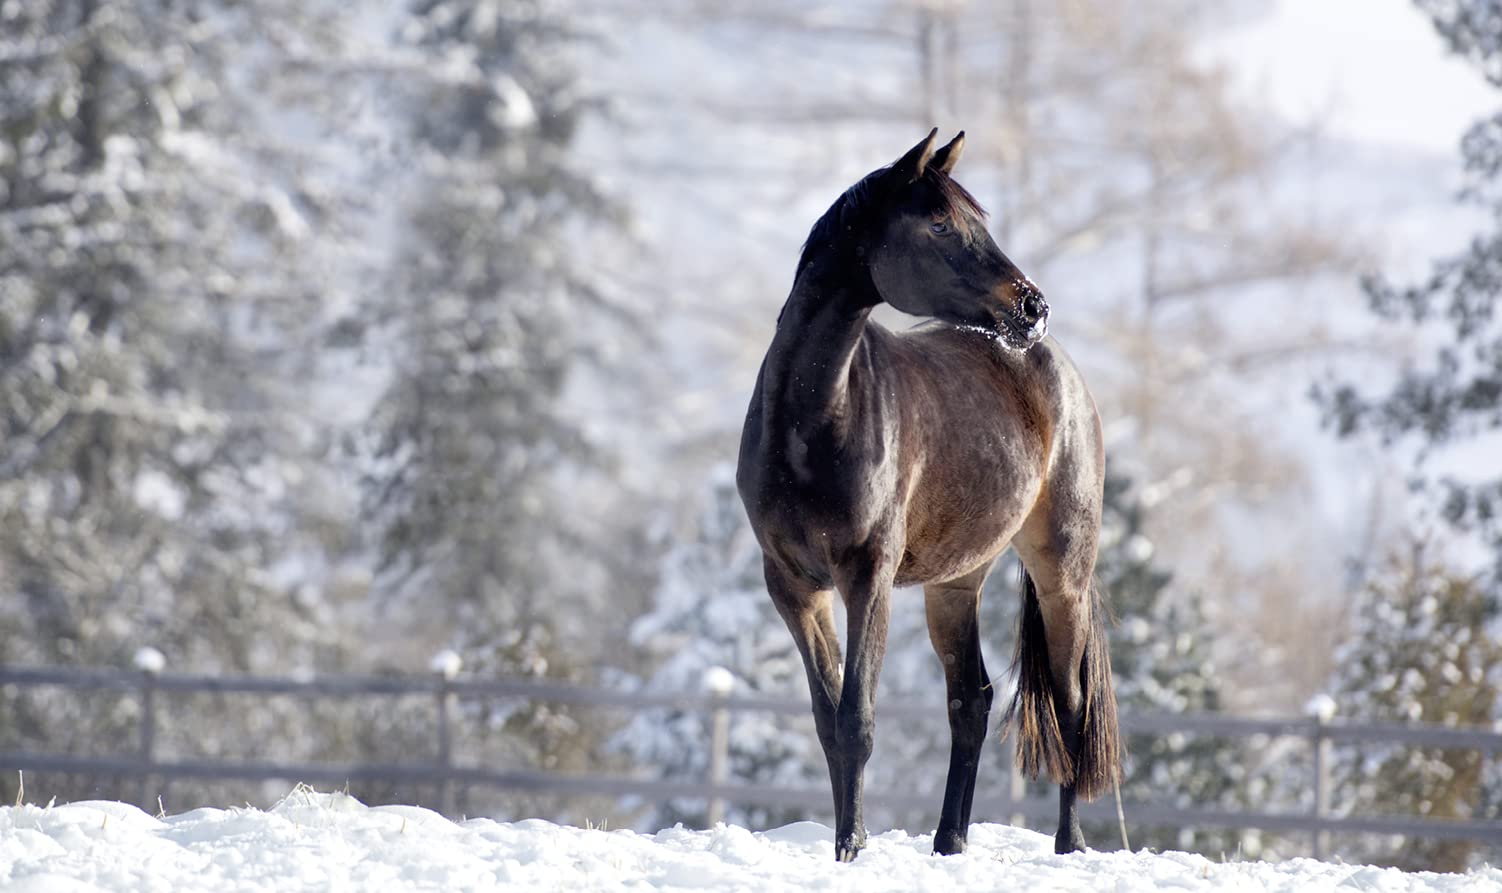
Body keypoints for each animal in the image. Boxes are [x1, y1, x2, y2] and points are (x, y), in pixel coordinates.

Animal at [735, 129, 1120, 862]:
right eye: (940, 223)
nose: (1033, 307)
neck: (813, 419)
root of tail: (1061, 369)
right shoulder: (793, 587)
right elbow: (828, 718)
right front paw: (846, 843)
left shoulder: (869, 577)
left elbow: (856, 717)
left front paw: (851, 847)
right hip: (954, 584)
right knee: (971, 701)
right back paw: (950, 841)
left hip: (1062, 574)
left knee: (1070, 702)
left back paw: (1067, 844)